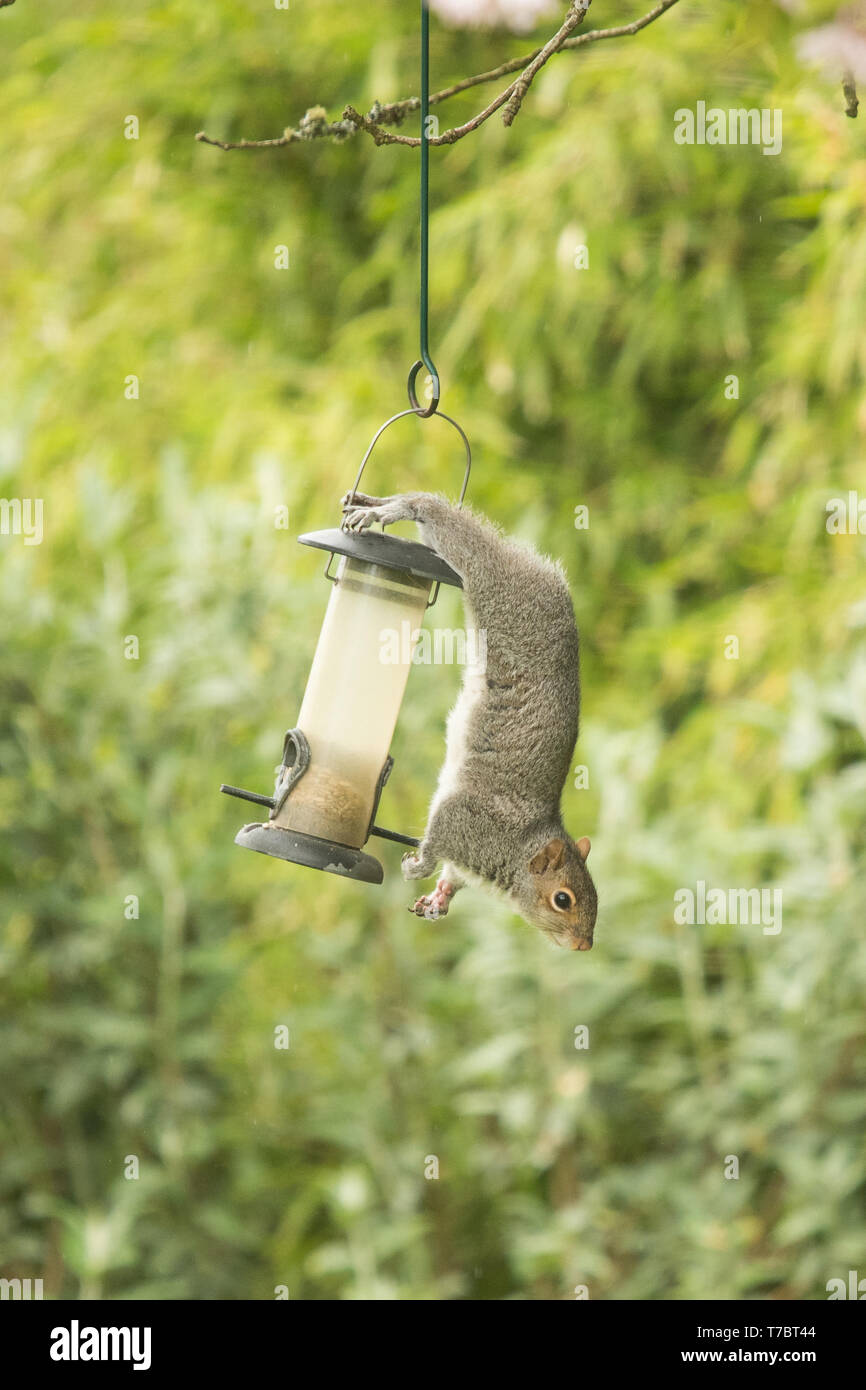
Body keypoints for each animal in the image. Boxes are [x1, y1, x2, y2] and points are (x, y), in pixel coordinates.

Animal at [341, 490, 597, 952]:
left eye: (596, 897)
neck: (518, 850)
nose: (584, 945)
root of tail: (548, 579)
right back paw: (387, 509)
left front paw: (438, 900)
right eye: (562, 899)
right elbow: (436, 840)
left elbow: (451, 877)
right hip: (488, 579)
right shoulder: (464, 822)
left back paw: (372, 502)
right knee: (437, 513)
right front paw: (418, 866)